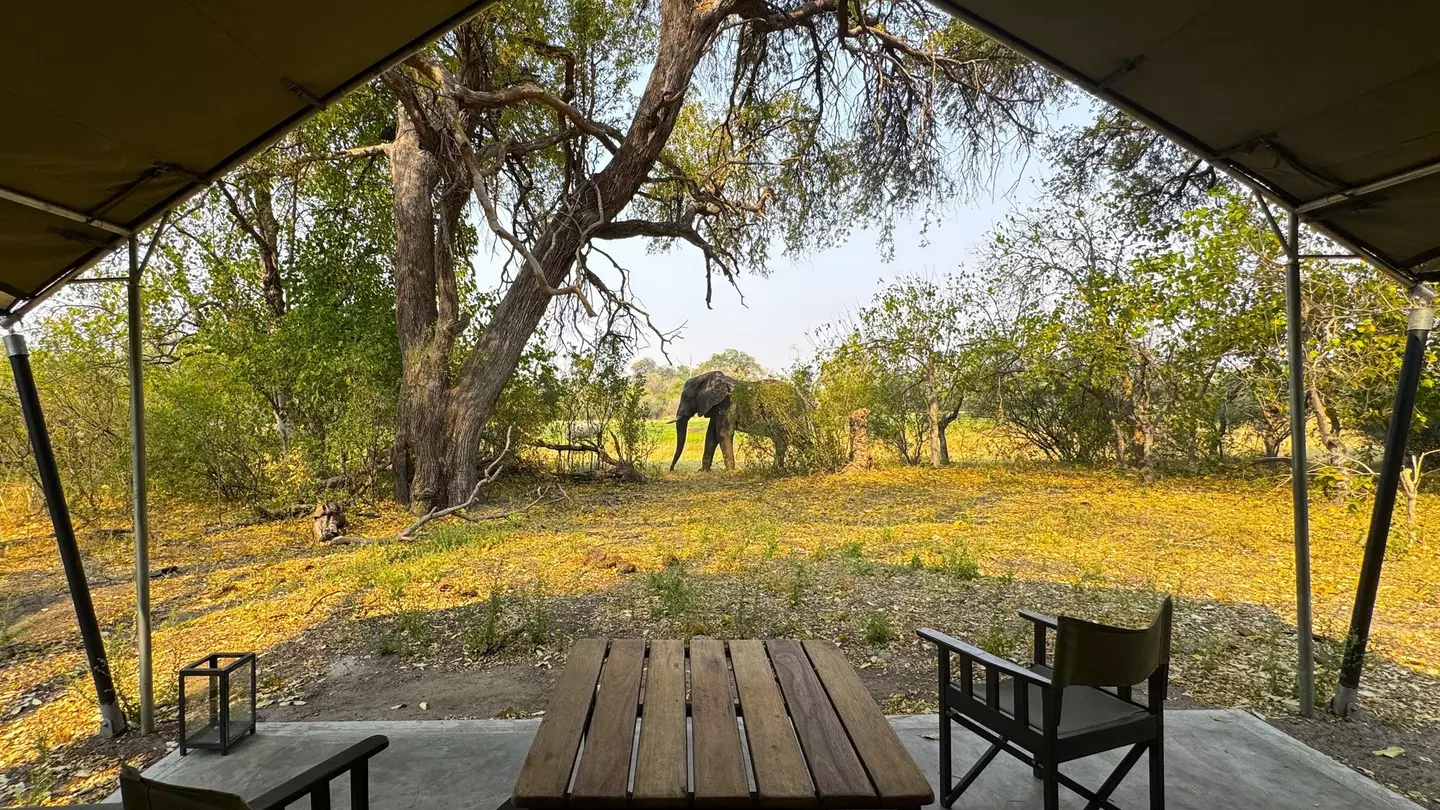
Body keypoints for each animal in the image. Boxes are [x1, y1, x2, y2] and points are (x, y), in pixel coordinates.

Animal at [669, 370, 809, 471]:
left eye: (686, 398)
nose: (672, 469)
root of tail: (801, 399)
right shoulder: (716, 407)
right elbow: (711, 437)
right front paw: (702, 471)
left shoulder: (728, 404)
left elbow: (722, 434)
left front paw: (730, 471)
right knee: (796, 438)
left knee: (783, 438)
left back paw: (776, 469)